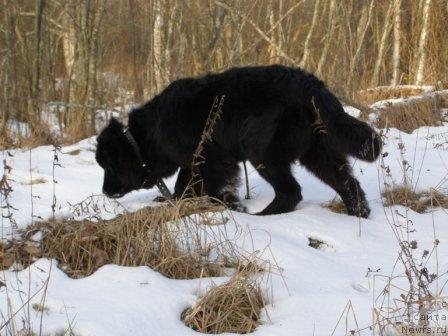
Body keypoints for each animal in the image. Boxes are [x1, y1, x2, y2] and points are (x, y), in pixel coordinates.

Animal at [95, 65, 382, 218]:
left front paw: (230, 205)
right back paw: (358, 214)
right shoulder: (193, 161)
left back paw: (265, 216)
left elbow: (208, 186)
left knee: (291, 191)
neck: (144, 137)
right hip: (317, 153)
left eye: (109, 166)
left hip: (262, 152)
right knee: (349, 184)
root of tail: (312, 87)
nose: (105, 191)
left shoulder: (214, 159)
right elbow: (183, 185)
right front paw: (172, 201)